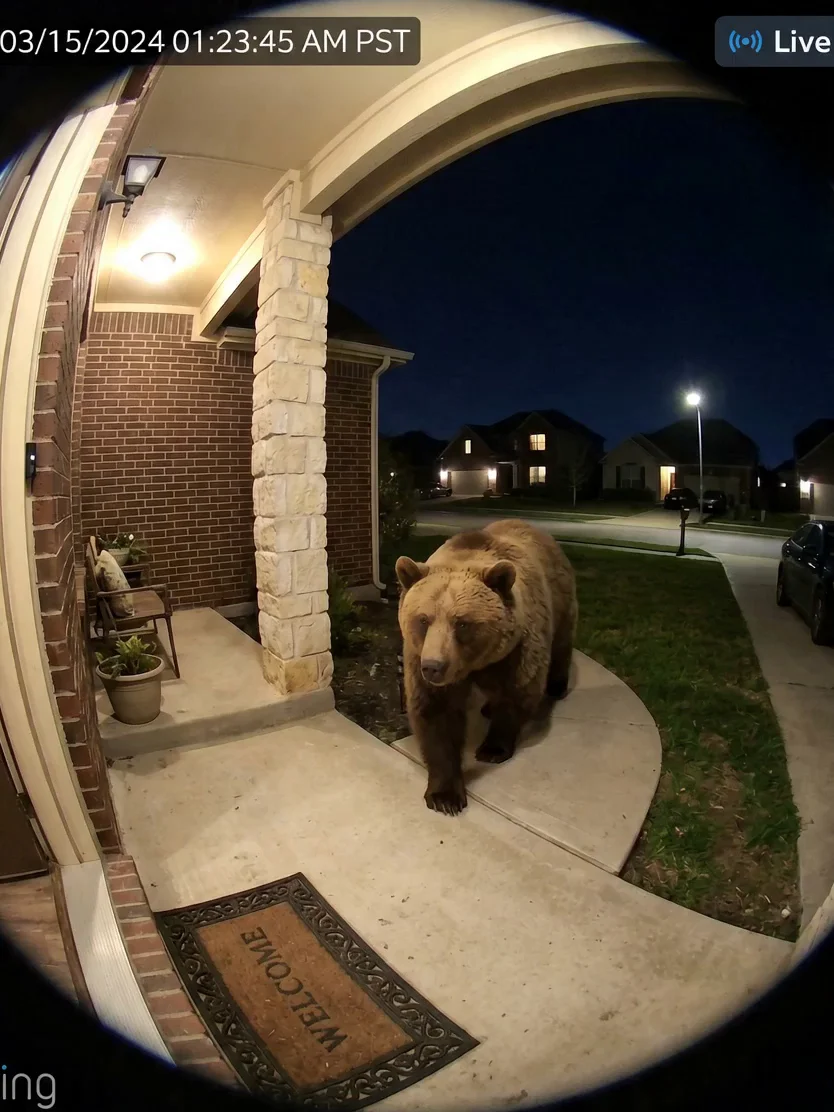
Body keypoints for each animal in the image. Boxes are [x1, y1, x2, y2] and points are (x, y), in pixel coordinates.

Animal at [395, 518, 577, 816]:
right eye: (423, 619)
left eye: (462, 622)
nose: (433, 666)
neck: (474, 664)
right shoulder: (419, 657)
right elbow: (437, 715)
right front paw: (445, 796)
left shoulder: (518, 647)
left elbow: (518, 692)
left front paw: (493, 748)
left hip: (560, 596)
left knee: (562, 641)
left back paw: (557, 686)